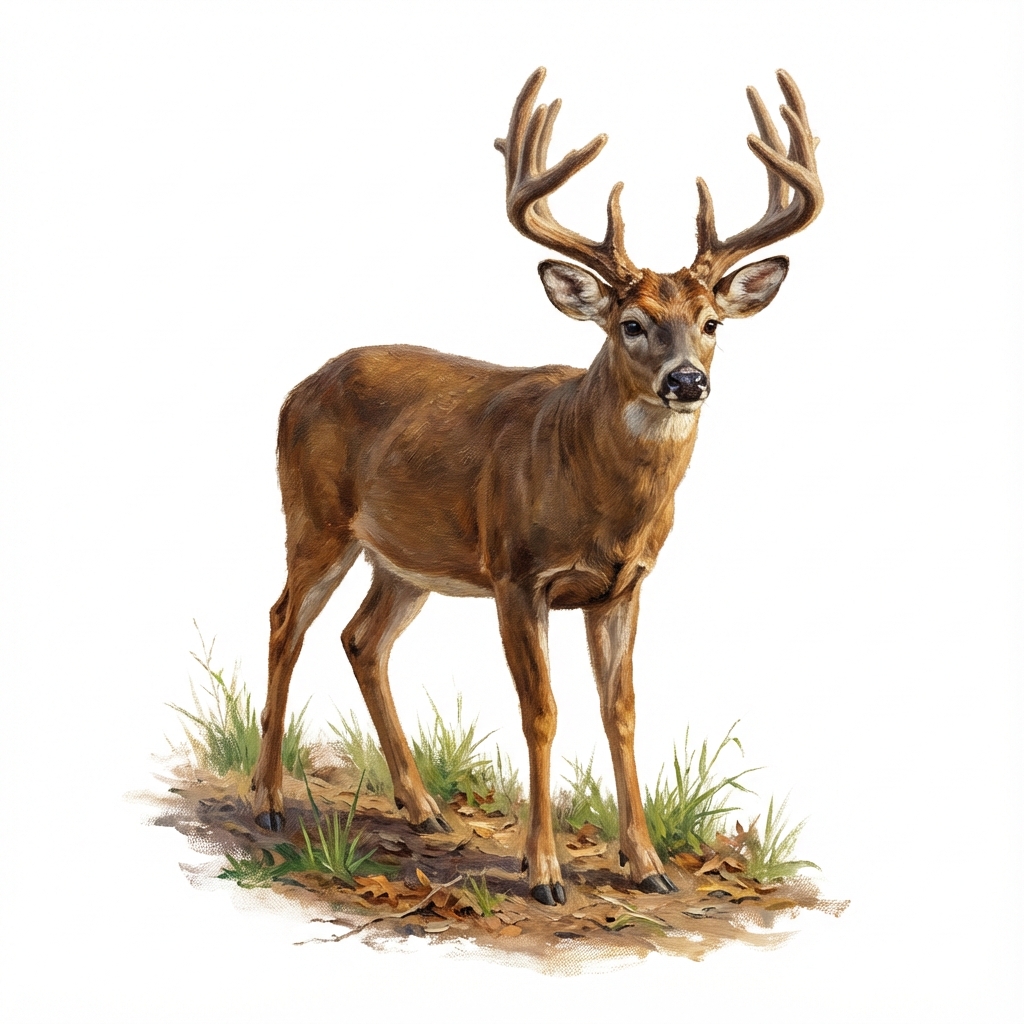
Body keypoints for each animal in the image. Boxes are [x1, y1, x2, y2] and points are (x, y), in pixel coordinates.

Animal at [250, 67, 823, 905]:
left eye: (713, 322)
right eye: (630, 324)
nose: (687, 381)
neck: (597, 492)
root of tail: (299, 387)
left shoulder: (624, 585)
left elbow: (621, 712)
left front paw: (647, 866)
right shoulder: (518, 574)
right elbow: (542, 713)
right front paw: (545, 870)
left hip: (406, 559)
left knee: (361, 638)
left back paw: (423, 807)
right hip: (315, 520)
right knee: (284, 622)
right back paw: (265, 799)